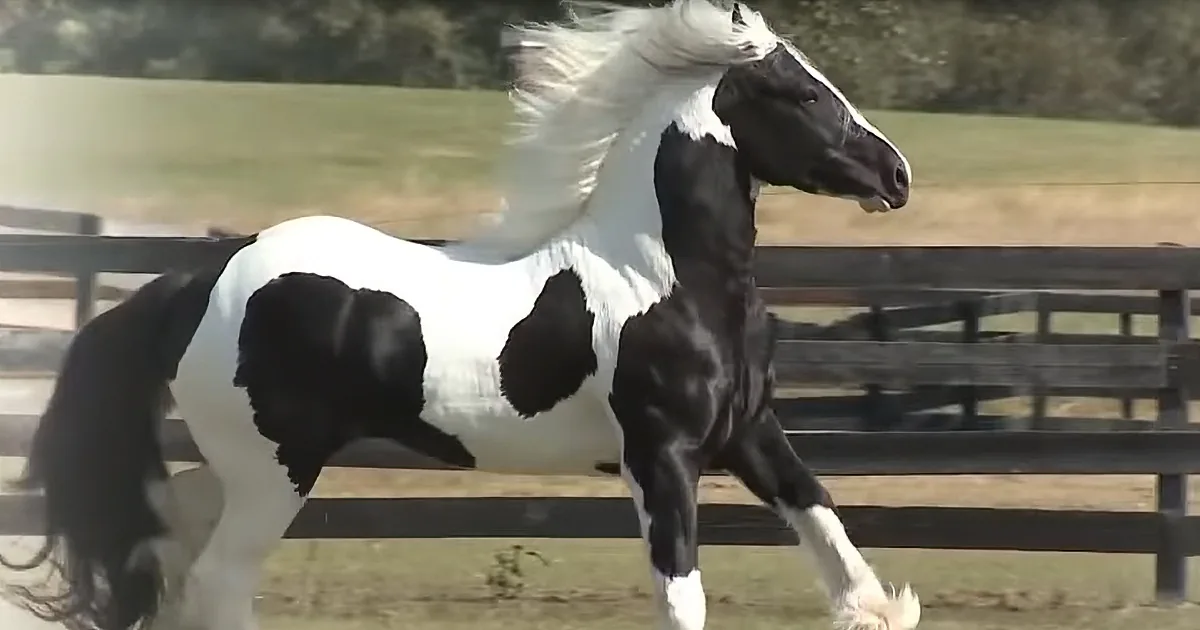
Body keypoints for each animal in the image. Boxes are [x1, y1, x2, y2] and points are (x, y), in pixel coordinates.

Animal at [1, 1, 916, 629]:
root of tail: (201, 278)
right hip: (274, 469)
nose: (897, 176)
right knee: (218, 582)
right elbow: (682, 593)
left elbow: (823, 519)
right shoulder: (663, 456)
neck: (664, 278)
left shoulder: (749, 432)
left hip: (242, 467)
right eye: (802, 95)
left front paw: (878, 606)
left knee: (169, 540)